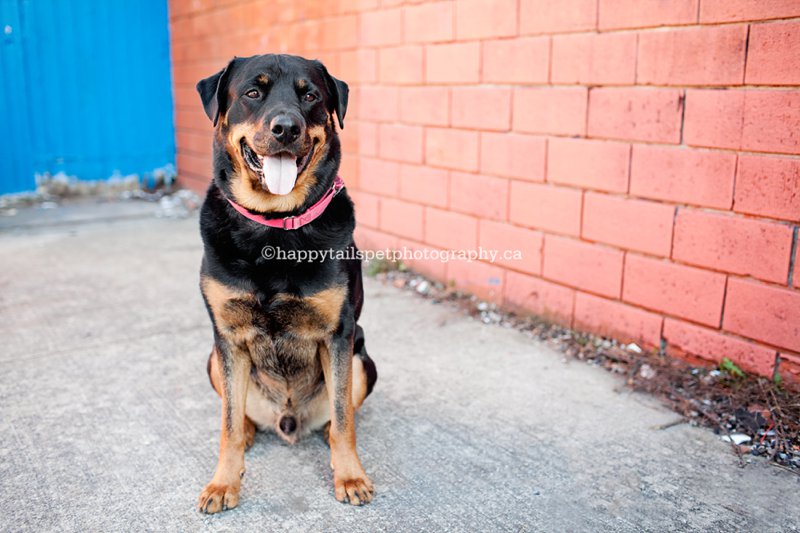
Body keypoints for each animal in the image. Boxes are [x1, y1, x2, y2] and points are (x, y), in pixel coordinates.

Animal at [196, 53, 378, 512]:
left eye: (310, 96)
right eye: (252, 92)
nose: (286, 128)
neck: (273, 227)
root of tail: (287, 419)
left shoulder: (339, 334)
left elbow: (344, 420)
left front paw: (350, 475)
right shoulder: (227, 336)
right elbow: (226, 424)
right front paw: (224, 483)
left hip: (362, 358)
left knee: (341, 414)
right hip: (212, 358)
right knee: (236, 412)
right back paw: (247, 430)